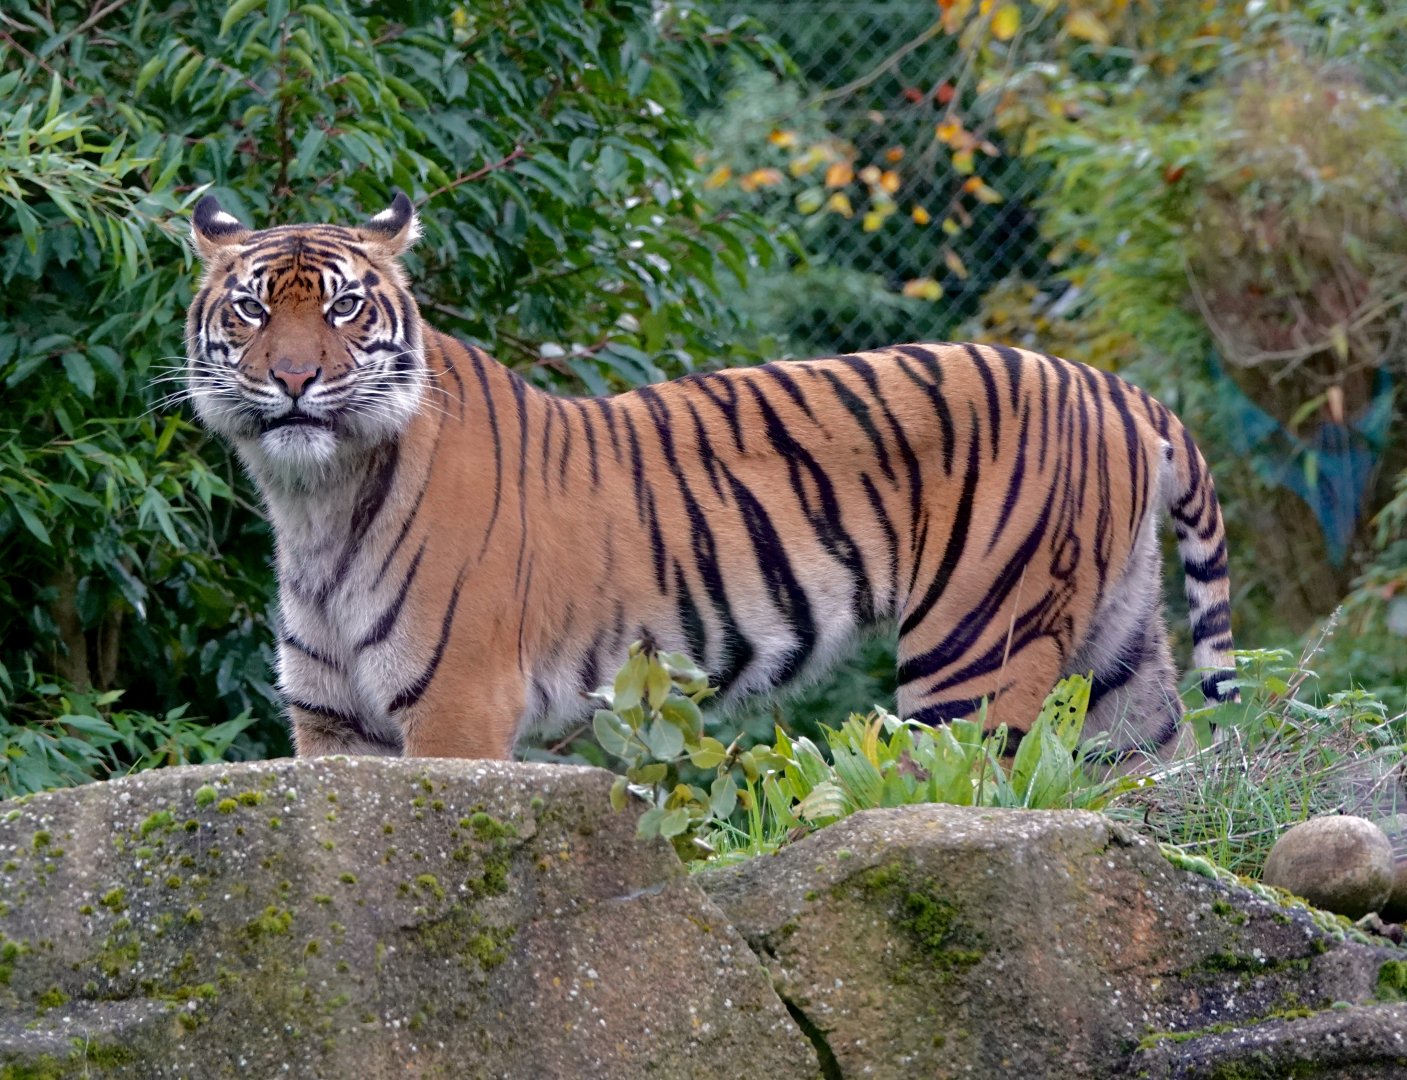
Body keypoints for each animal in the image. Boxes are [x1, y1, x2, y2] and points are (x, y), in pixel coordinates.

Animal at [184, 191, 1237, 764]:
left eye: (346, 309)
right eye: (249, 310)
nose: (293, 379)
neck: (314, 503)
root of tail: (1118, 389)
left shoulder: (458, 708)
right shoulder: (330, 724)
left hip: (974, 655)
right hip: (1119, 654)